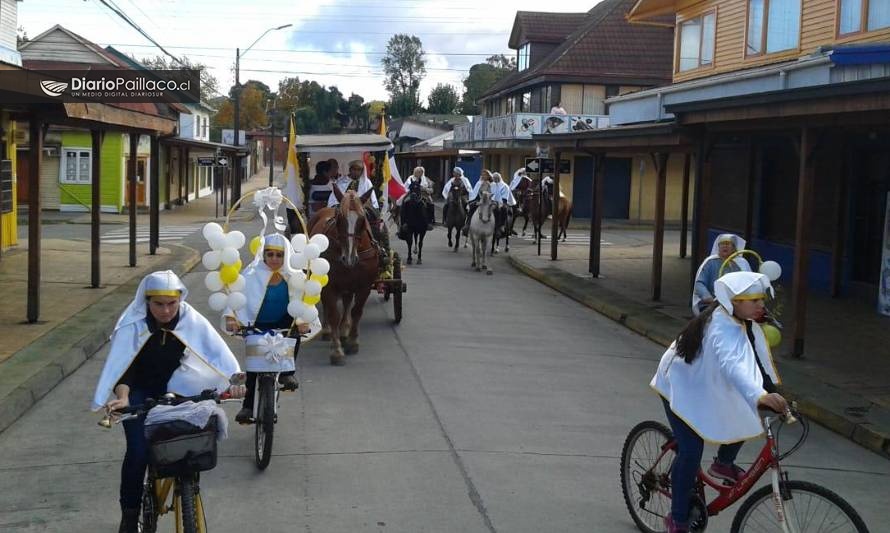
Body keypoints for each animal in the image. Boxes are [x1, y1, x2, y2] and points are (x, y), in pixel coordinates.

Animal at [308, 187, 378, 366]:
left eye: (362, 219)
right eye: (339, 219)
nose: (349, 258)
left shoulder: (364, 285)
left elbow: (356, 311)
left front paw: (352, 341)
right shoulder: (330, 285)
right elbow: (333, 314)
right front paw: (336, 351)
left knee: (347, 302)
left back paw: (344, 331)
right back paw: (327, 330)